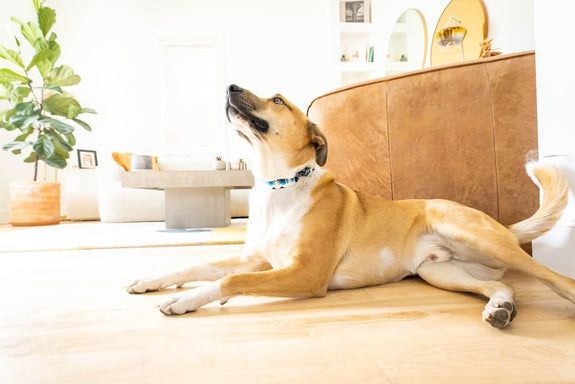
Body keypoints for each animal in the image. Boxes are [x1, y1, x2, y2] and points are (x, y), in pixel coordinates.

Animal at [128, 84, 575, 328]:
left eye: (277, 100)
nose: (230, 87)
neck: (279, 185)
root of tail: (501, 225)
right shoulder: (256, 260)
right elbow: (194, 267)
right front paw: (151, 281)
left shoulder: (306, 273)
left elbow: (232, 281)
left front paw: (185, 300)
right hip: (441, 272)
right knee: (503, 286)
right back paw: (500, 309)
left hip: (472, 235)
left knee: (557, 279)